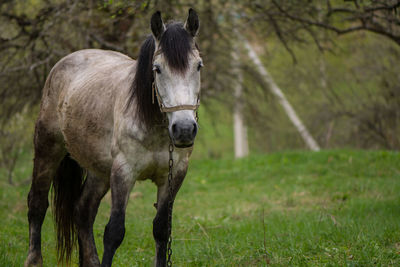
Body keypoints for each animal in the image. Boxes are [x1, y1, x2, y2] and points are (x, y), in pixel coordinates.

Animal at [23, 8, 202, 267]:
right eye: (157, 69)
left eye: (198, 66)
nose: (185, 129)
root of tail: (64, 63)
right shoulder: (123, 172)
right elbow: (115, 231)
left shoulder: (174, 174)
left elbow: (161, 230)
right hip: (48, 149)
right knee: (37, 203)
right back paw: (34, 260)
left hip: (99, 171)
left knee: (83, 211)